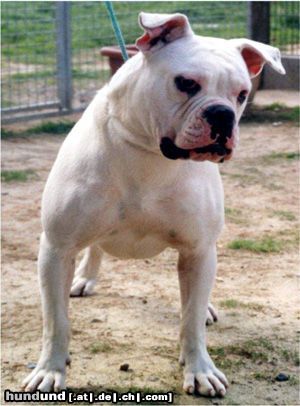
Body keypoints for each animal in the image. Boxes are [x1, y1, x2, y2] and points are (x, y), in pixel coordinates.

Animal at [22, 11, 284, 396]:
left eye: (242, 95)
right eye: (186, 83)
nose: (222, 114)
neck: (149, 154)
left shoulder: (198, 250)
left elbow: (191, 322)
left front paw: (200, 368)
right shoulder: (57, 247)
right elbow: (56, 322)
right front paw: (50, 370)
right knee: (95, 248)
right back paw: (84, 278)